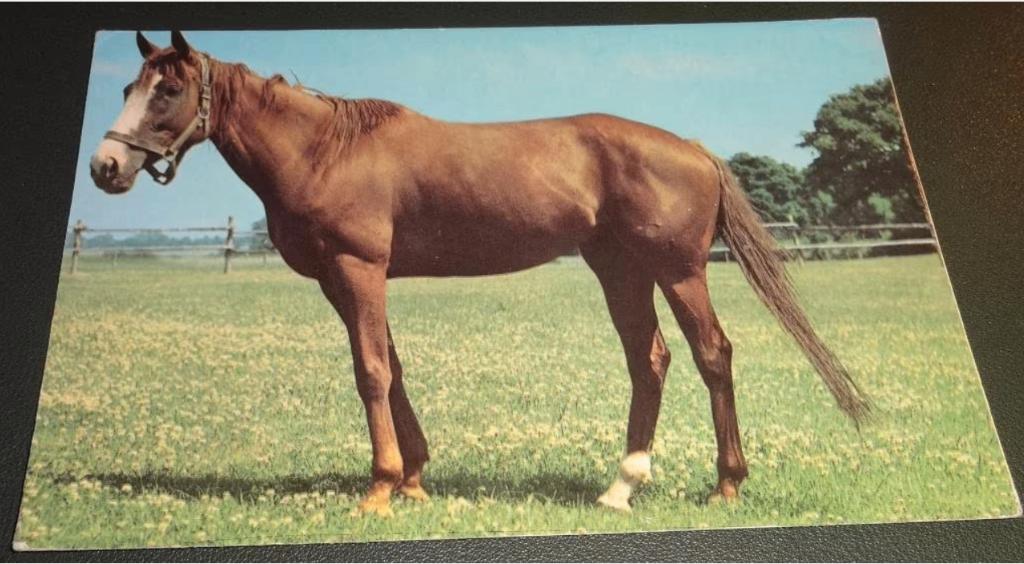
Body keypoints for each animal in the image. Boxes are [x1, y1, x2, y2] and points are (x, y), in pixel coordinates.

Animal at [89, 31, 870, 516]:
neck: (325, 149)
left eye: (167, 92)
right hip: (622, 271)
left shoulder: (357, 269)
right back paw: (621, 486)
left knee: (712, 355)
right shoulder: (349, 281)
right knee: (650, 361)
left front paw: (380, 488)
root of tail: (693, 147)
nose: (106, 166)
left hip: (678, 273)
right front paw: (413, 479)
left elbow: (370, 371)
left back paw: (725, 486)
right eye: (129, 83)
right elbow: (392, 369)